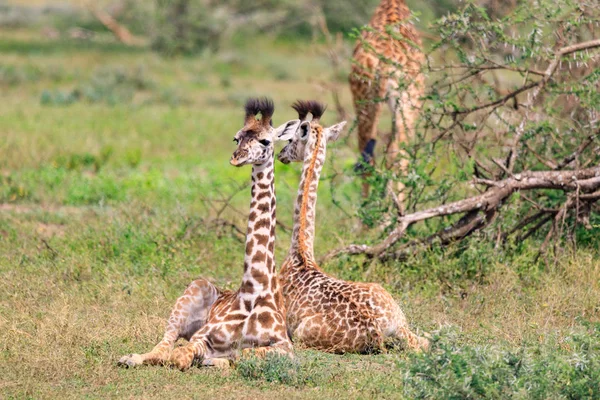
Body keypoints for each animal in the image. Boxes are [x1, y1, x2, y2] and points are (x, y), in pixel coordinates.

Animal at [118, 98, 300, 370]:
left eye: (266, 141)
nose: (236, 158)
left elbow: (243, 354)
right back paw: (129, 358)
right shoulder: (201, 336)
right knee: (164, 345)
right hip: (193, 291)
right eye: (236, 138)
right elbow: (179, 356)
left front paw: (219, 362)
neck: (253, 291)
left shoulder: (285, 347)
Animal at [276, 100, 426, 354]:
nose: (281, 155)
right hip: (399, 318)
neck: (300, 253)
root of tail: (376, 330)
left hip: (302, 334)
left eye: (291, 139)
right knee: (424, 341)